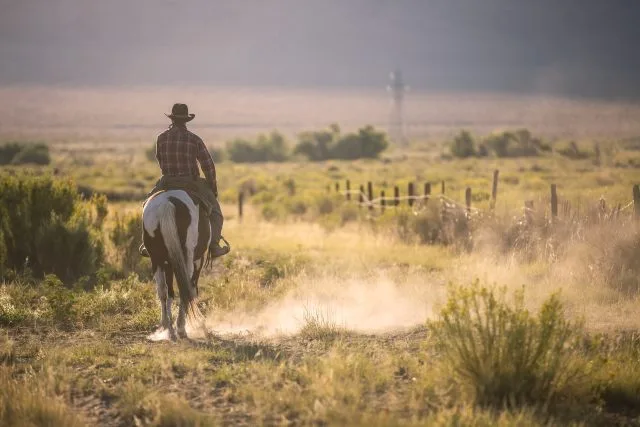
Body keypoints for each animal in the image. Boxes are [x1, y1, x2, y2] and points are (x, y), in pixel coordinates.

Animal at [141, 191, 211, 342]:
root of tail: (166, 203)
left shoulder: (167, 263)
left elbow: (169, 292)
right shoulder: (198, 261)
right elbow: (191, 289)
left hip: (156, 259)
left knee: (162, 290)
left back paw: (168, 328)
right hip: (187, 259)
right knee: (185, 288)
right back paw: (181, 328)